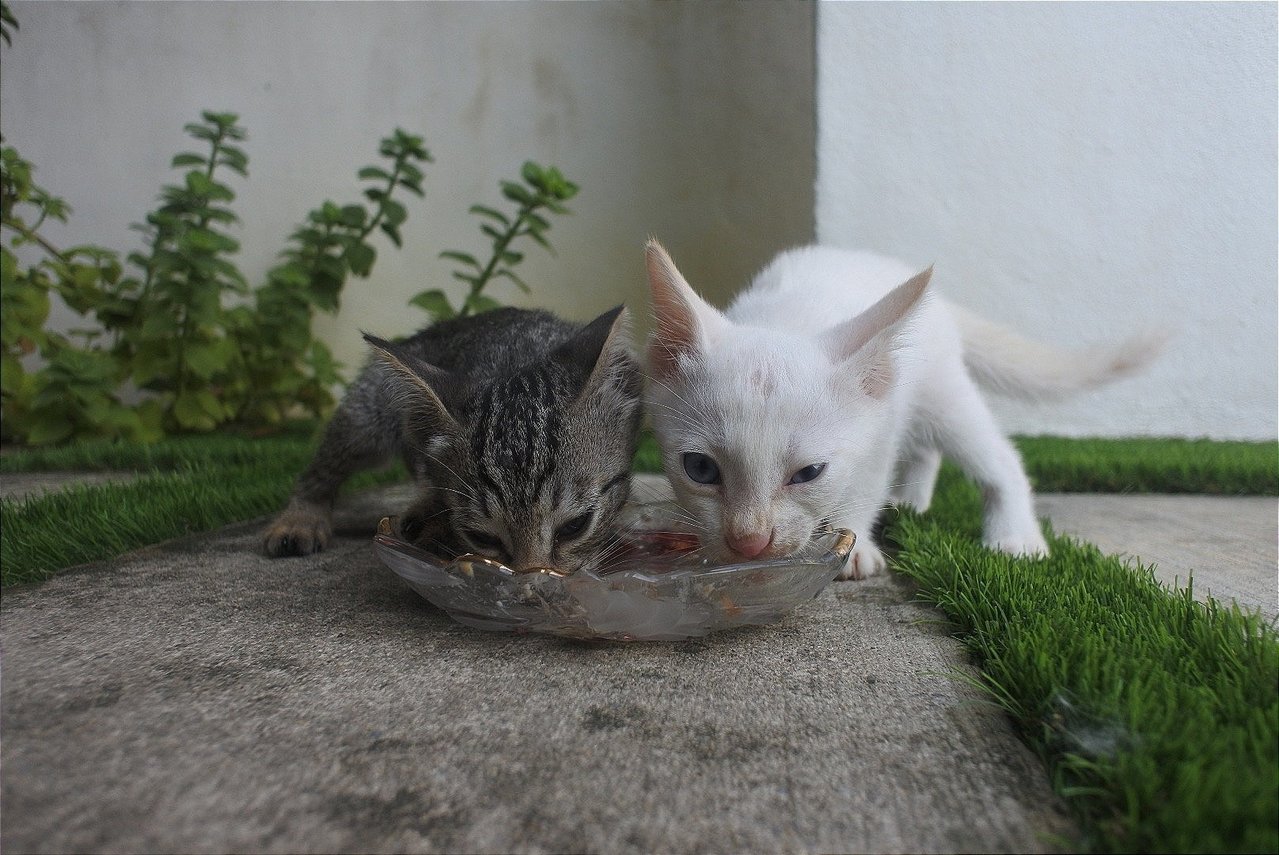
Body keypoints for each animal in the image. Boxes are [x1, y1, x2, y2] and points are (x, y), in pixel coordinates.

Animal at [260, 303, 644, 570]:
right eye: (481, 536)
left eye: (575, 526)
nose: (534, 580)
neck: (518, 355)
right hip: (371, 409)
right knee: (329, 461)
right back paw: (301, 519)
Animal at [644, 240, 1166, 581]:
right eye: (699, 468)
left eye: (810, 473)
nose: (749, 542)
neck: (788, 321)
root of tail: (944, 306)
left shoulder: (881, 429)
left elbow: (866, 483)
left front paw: (853, 544)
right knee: (927, 450)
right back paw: (913, 501)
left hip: (941, 392)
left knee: (997, 454)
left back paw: (1014, 536)